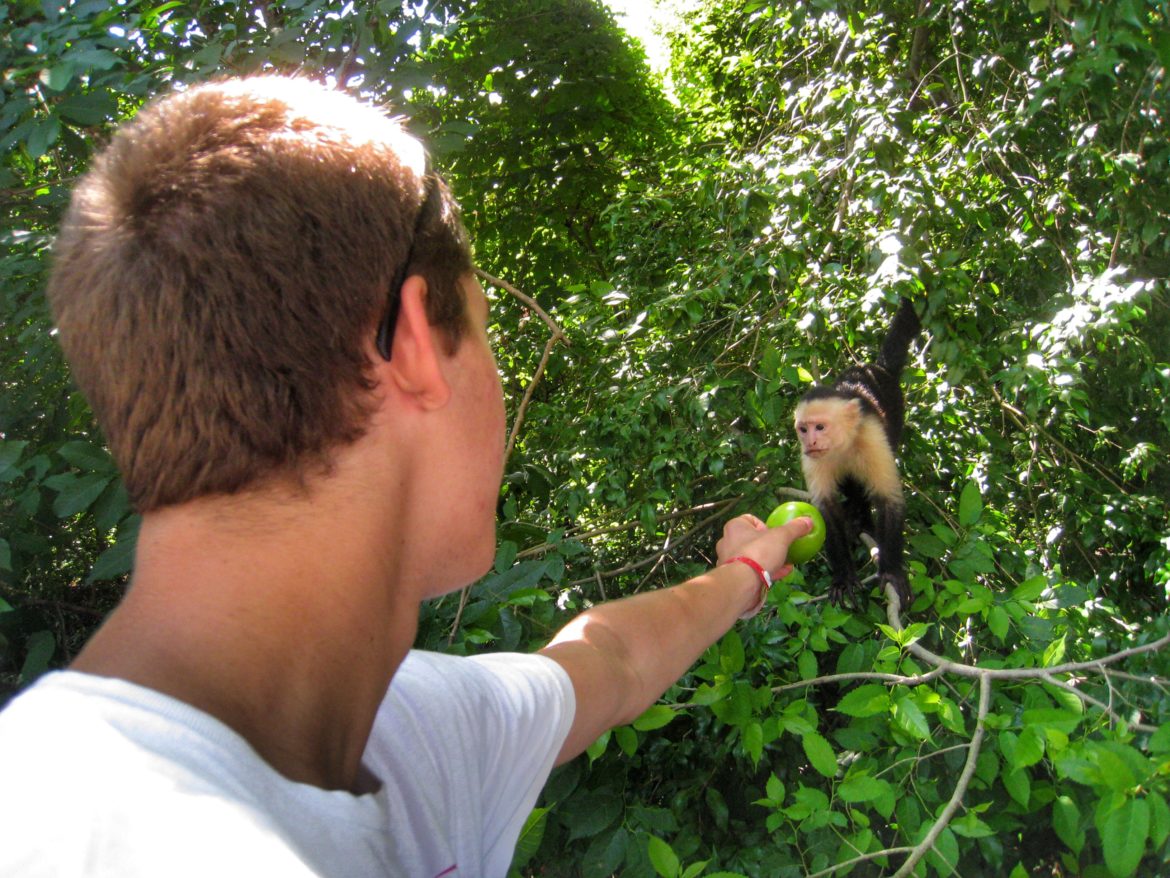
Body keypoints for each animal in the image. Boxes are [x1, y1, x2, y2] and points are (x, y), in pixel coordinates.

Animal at [793, 298, 921, 610]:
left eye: (820, 427)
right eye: (803, 429)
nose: (811, 441)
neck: (843, 444)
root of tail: (876, 367)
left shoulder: (871, 437)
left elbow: (889, 499)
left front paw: (891, 571)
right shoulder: (811, 459)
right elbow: (827, 511)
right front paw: (843, 578)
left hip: (896, 411)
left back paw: (860, 519)